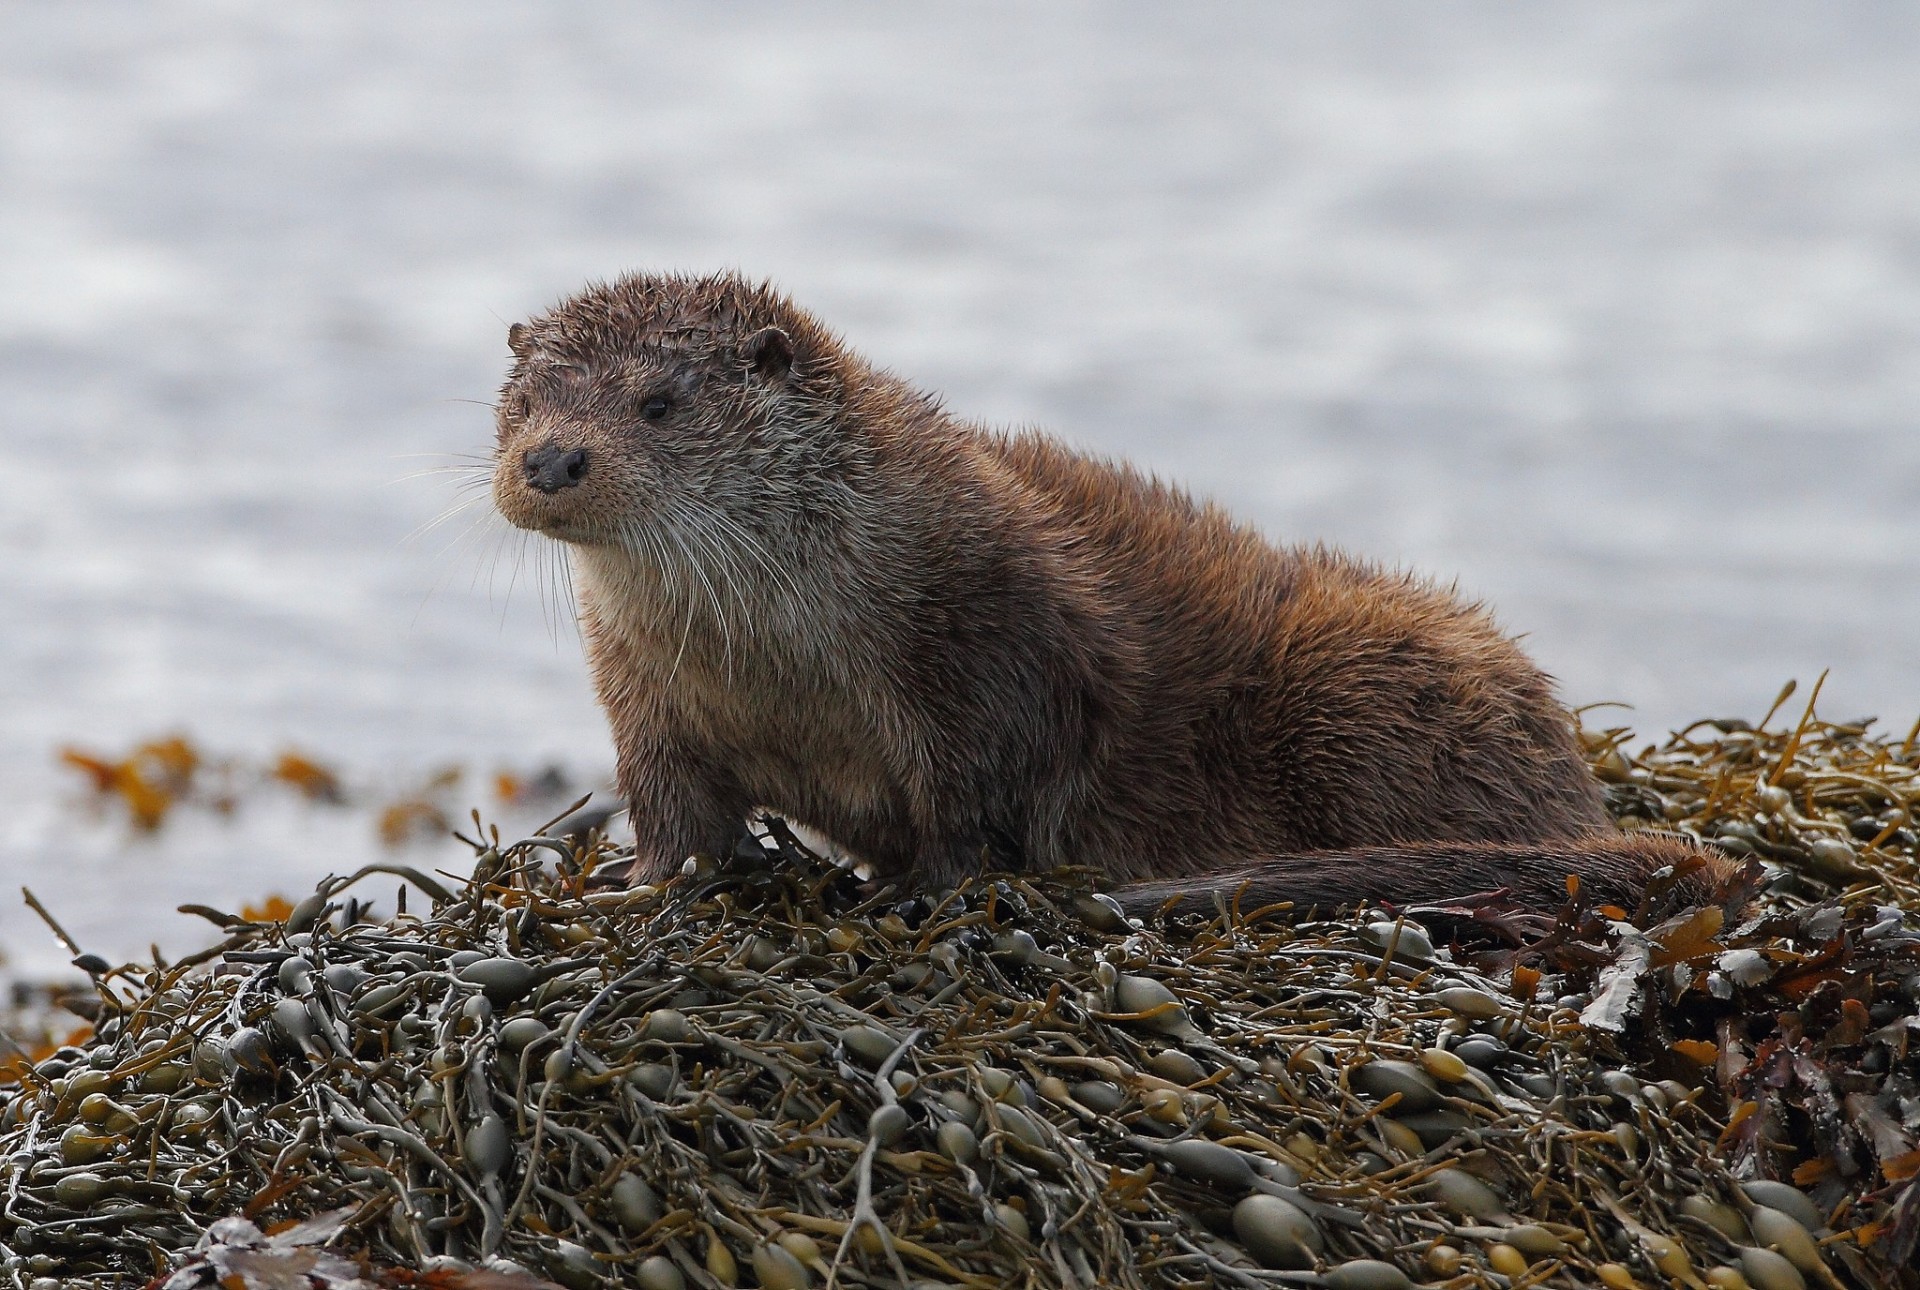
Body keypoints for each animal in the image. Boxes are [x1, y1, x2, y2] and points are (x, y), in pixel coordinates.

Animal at [490, 271, 1724, 916]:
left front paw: (919, 892)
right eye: (524, 399)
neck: (774, 657)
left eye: (657, 403)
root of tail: (1573, 781)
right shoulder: (641, 691)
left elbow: (978, 797)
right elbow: (673, 807)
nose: (550, 459)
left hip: (1356, 678)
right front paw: (634, 887)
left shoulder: (987, 637)